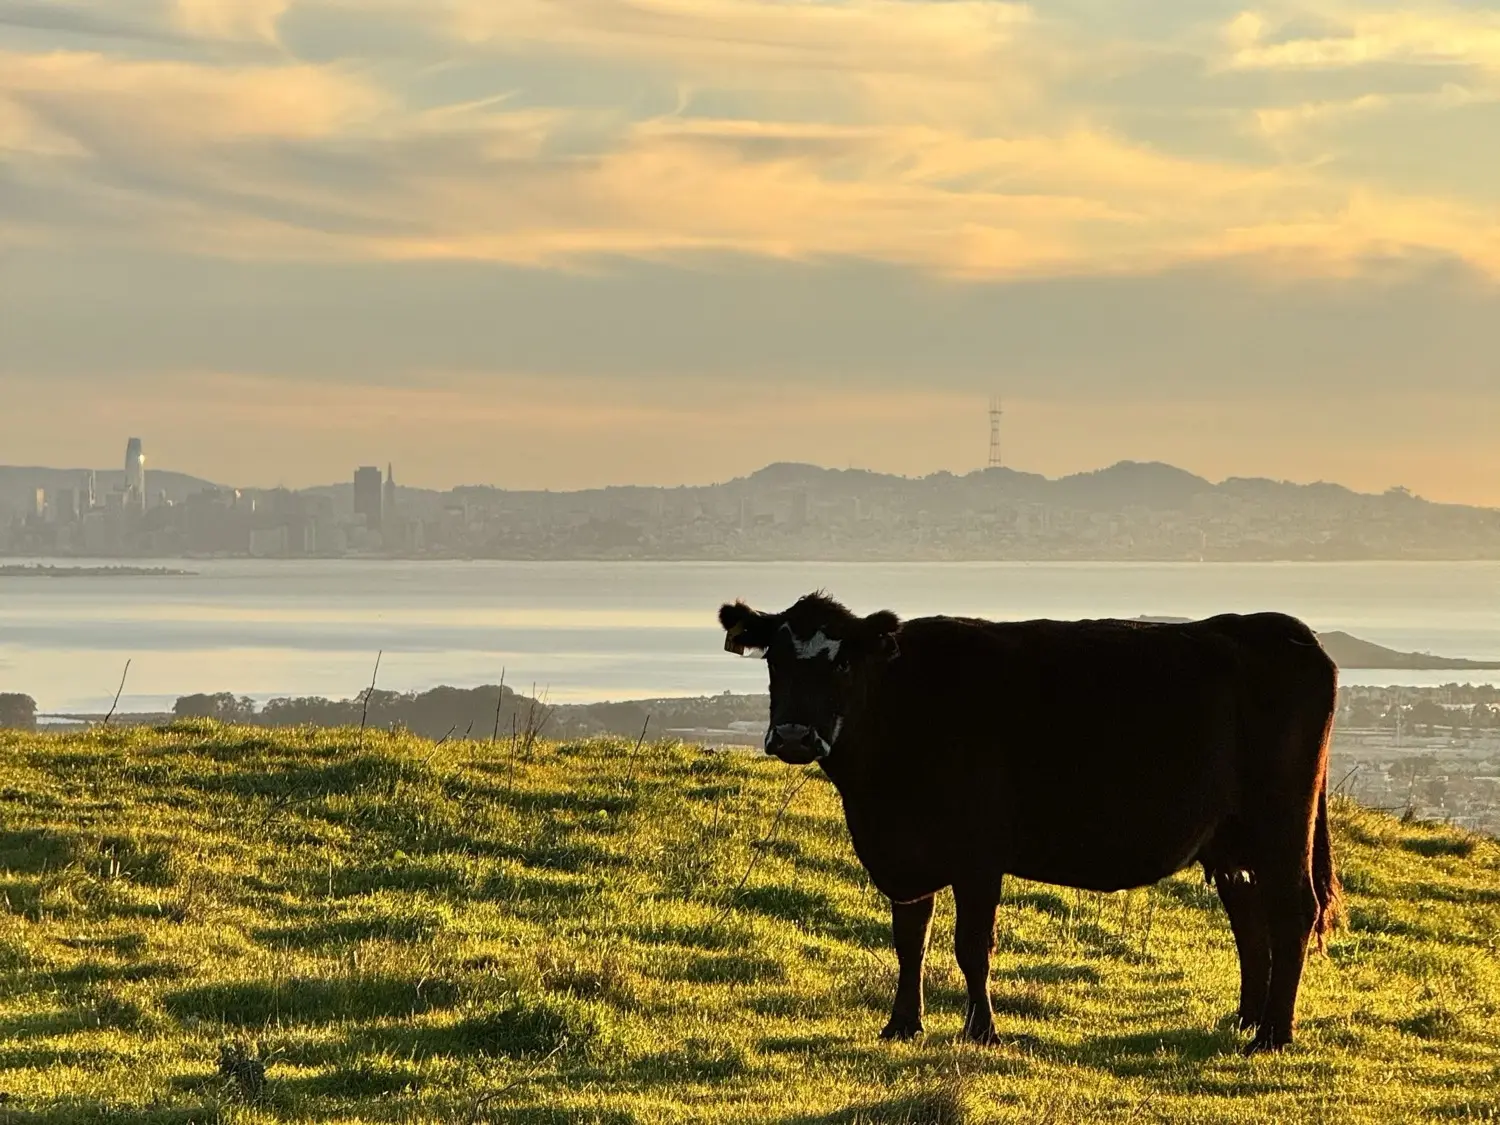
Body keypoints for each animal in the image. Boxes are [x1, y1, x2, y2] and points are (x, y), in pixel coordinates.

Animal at [719, 592, 1340, 1054]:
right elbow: (909, 940)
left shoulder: (978, 854)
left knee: (1292, 912)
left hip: (1282, 822)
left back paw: (1272, 1036)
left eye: (842, 661)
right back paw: (1246, 1020)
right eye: (773, 659)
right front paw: (902, 1025)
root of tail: (1285, 630)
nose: (794, 735)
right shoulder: (907, 850)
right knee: (1250, 919)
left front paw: (982, 1032)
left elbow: (971, 945)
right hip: (1231, 839)